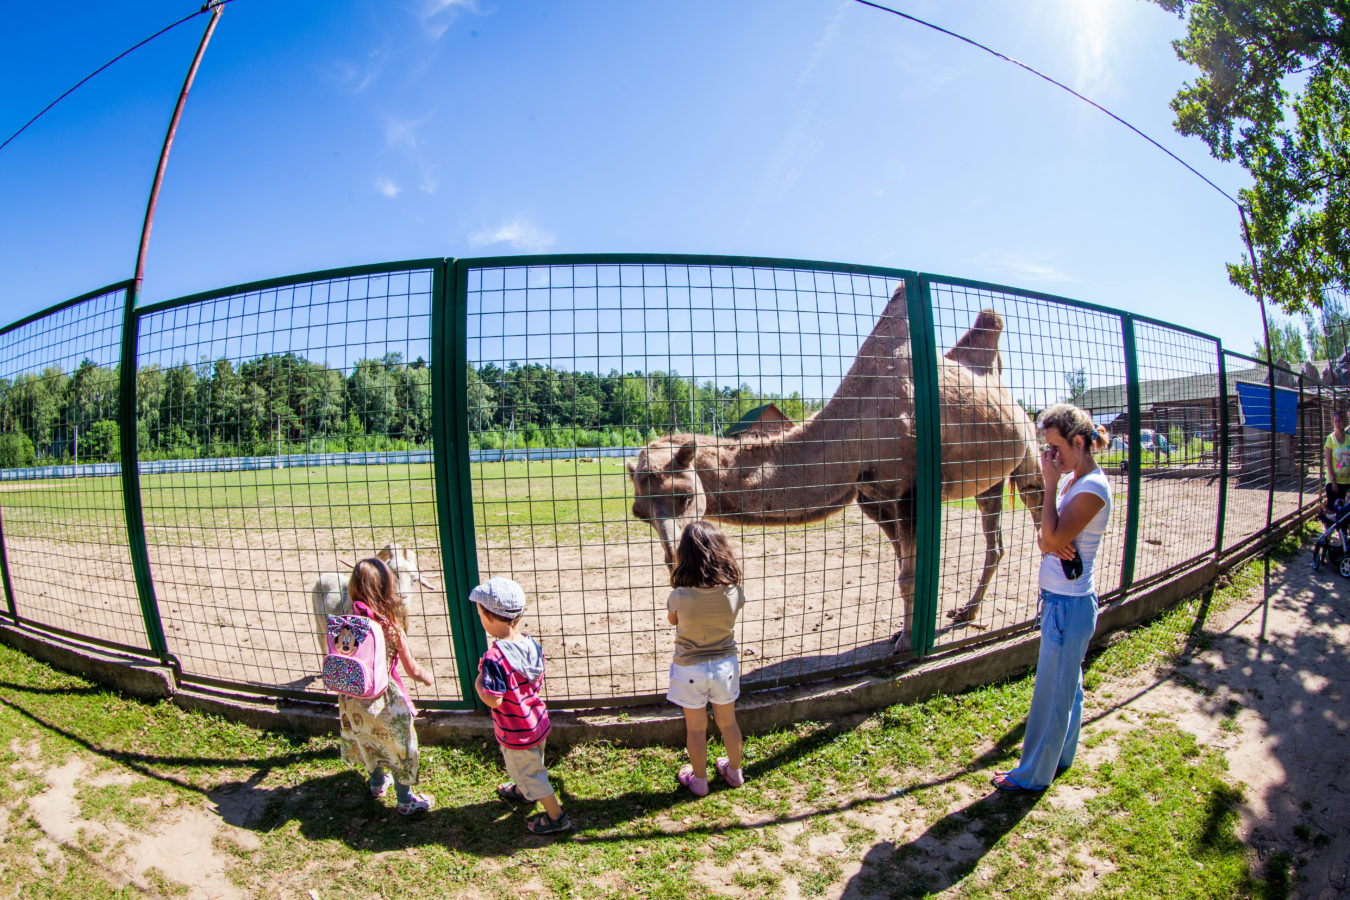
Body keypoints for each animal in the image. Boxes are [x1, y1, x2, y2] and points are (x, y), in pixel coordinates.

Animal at [626, 288, 1036, 647]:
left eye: (684, 497)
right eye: (639, 513)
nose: (672, 560)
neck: (853, 426)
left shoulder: (909, 490)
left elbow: (910, 575)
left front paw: (905, 643)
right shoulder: (872, 497)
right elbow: (904, 567)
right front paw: (905, 632)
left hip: (1030, 449)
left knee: (1036, 503)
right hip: (990, 481)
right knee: (995, 543)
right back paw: (967, 612)